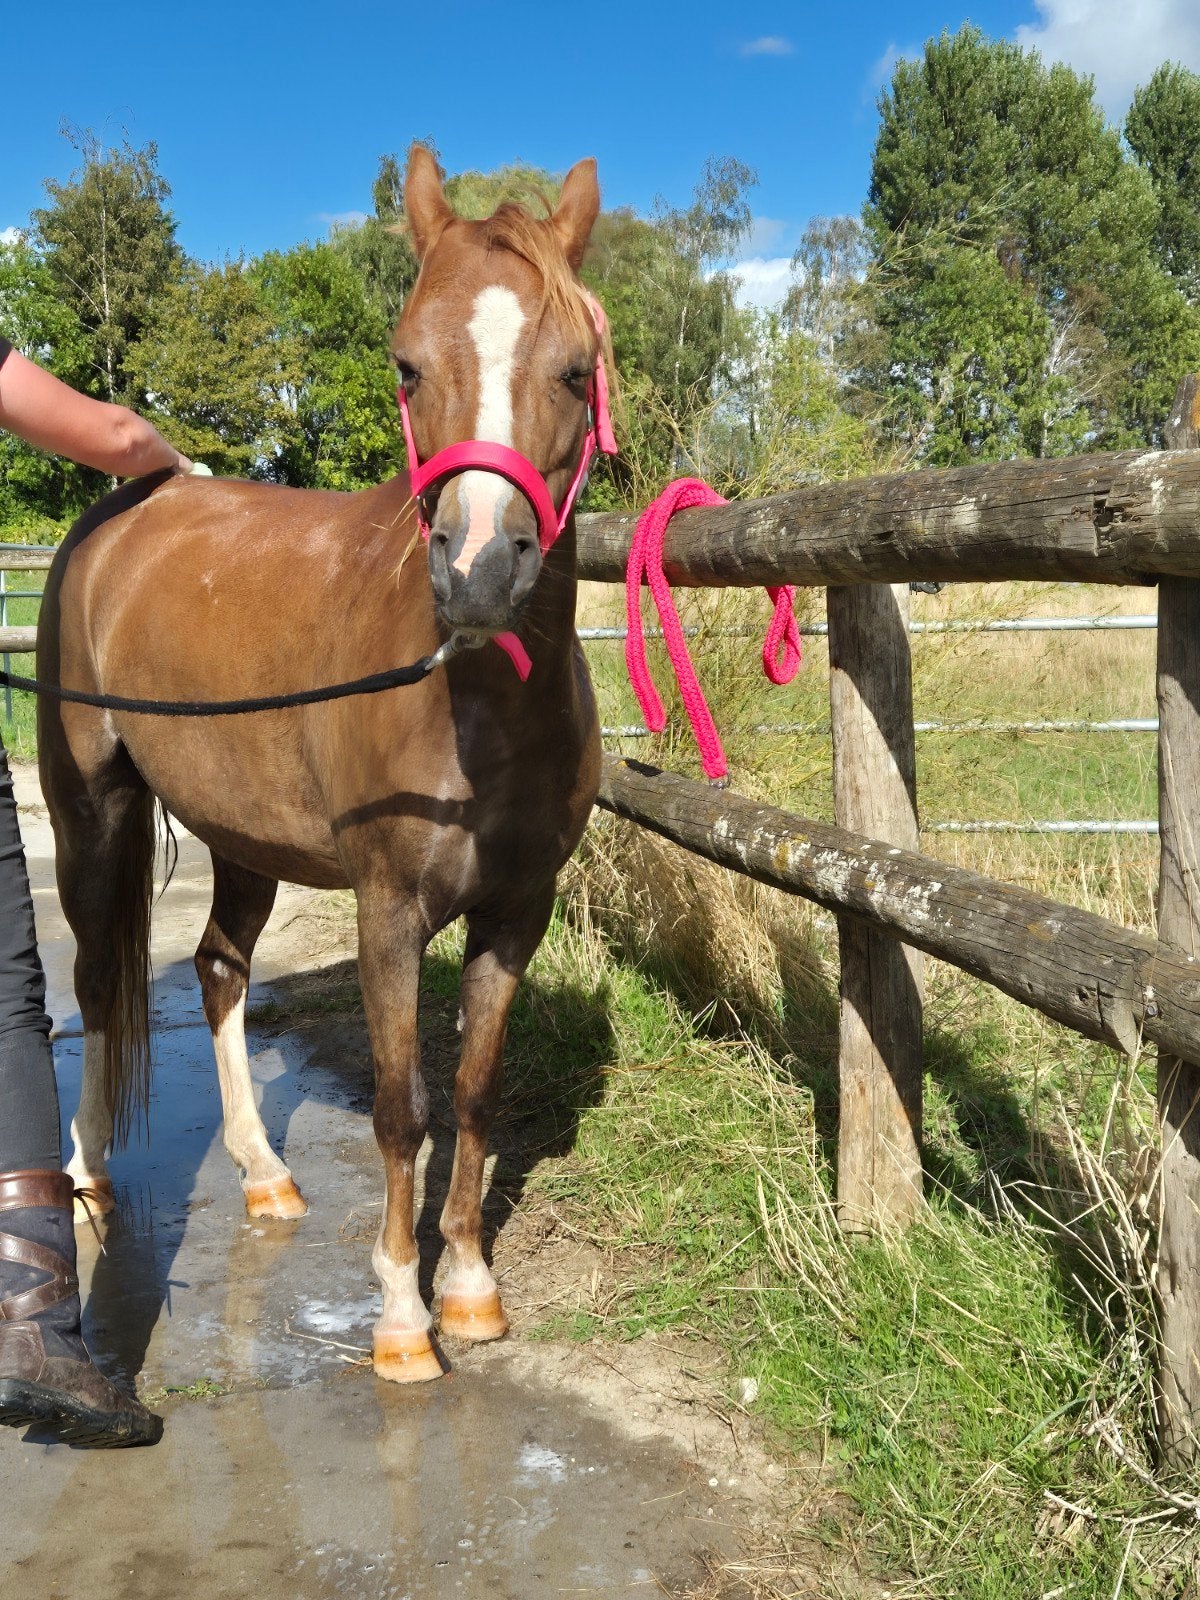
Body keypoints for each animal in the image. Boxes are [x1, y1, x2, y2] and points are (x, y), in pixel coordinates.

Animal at [36, 145, 606, 1383]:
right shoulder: (388, 911)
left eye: (577, 370)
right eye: (406, 363)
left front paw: (470, 1286)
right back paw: (88, 1166)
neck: (475, 703)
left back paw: (263, 1172)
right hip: (89, 809)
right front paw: (400, 1315)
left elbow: (475, 1095)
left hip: (244, 837)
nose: (477, 571)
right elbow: (403, 1106)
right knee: (100, 982)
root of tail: (121, 515)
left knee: (216, 969)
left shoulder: (517, 911)